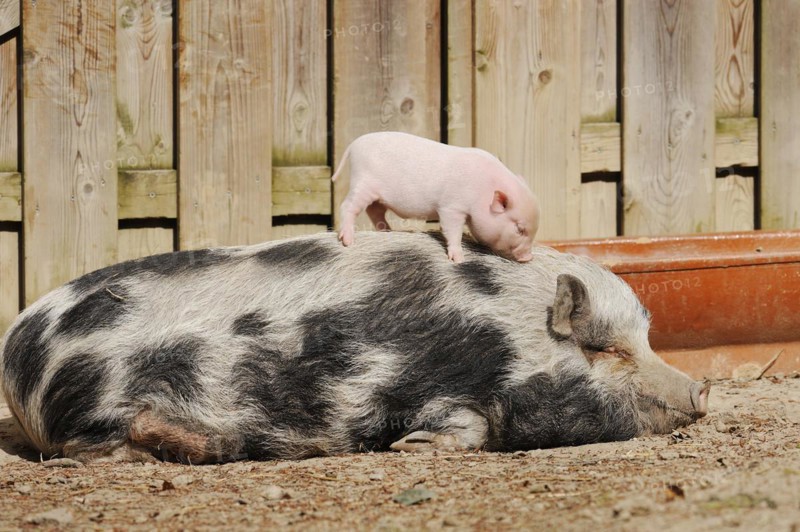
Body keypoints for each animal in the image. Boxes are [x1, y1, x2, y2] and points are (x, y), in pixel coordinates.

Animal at [0, 231, 709, 464]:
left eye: (645, 340)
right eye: (606, 350)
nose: (702, 387)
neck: (506, 333)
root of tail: (16, 351)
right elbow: (465, 426)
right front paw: (410, 446)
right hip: (94, 410)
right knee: (91, 451)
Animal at [332, 132, 540, 263]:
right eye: (519, 229)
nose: (528, 258)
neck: (483, 190)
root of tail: (354, 144)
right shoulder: (451, 206)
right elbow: (451, 230)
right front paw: (459, 259)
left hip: (377, 196)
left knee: (374, 211)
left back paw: (387, 231)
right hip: (363, 183)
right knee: (347, 206)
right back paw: (348, 242)